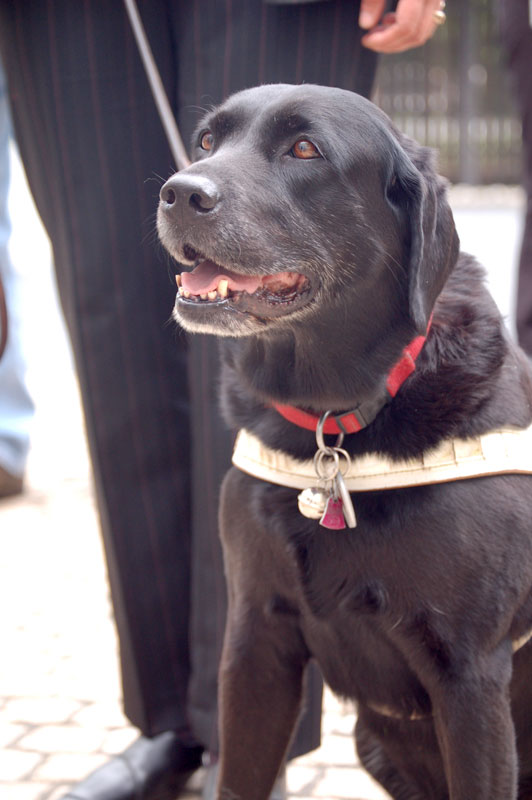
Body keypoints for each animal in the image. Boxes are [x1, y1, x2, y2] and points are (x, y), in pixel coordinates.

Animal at [156, 86, 532, 800]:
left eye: (305, 149)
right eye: (207, 143)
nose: (179, 192)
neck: (330, 420)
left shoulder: (471, 677)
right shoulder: (255, 642)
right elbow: (239, 777)